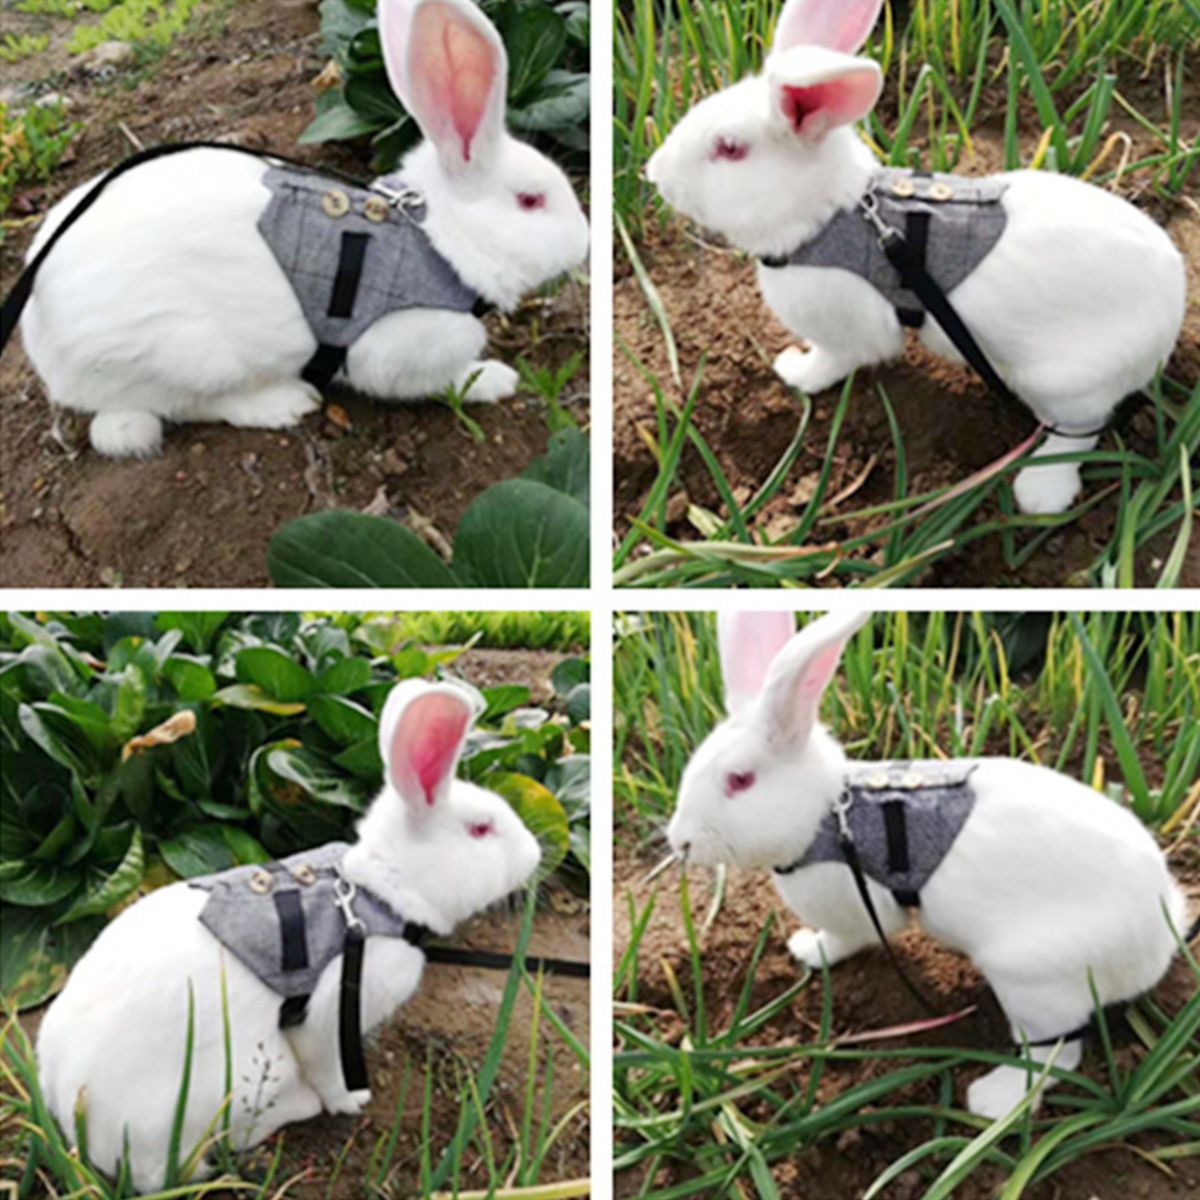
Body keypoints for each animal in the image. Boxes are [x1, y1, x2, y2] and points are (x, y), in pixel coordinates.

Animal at [17, 0, 589, 459]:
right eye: (531, 201)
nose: (584, 241)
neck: (438, 240)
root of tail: (39, 331)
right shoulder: (398, 350)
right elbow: (444, 380)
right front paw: (498, 379)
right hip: (184, 357)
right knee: (186, 405)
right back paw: (285, 403)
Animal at [36, 679, 542, 1191]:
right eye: (481, 829)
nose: (536, 855)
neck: (380, 893)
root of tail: (74, 1114)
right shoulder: (334, 1015)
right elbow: (330, 1072)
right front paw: (351, 1102)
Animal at [645, 0, 1186, 516]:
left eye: (730, 148)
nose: (654, 175)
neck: (829, 214)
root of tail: (1173, 312)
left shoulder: (847, 333)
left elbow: (833, 361)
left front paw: (795, 372)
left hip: (1067, 384)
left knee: (1077, 432)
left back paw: (1040, 493)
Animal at [666, 610, 1189, 1120]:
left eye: (739, 780)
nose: (680, 840)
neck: (827, 814)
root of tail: (1159, 939)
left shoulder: (858, 910)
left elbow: (844, 939)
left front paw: (809, 951)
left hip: (1033, 983)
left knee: (1054, 1054)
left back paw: (991, 1101)